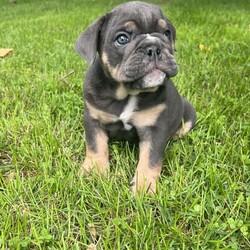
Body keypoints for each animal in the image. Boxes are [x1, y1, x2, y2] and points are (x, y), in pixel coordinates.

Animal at [74, 0, 195, 194]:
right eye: (122, 39)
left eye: (166, 33)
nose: (154, 47)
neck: (128, 93)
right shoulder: (93, 119)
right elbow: (95, 146)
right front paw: (93, 171)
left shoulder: (155, 128)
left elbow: (150, 160)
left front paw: (144, 186)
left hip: (189, 113)